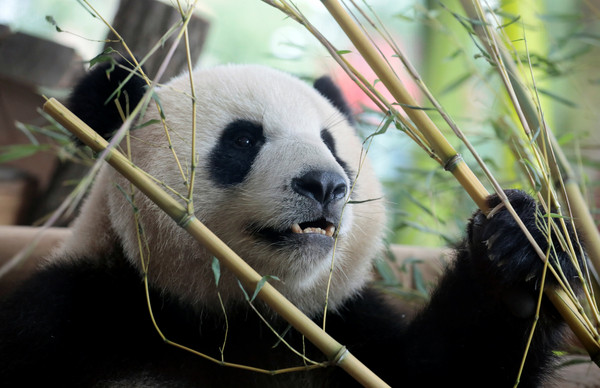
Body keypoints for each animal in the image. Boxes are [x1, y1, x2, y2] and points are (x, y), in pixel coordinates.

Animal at [0, 59, 580, 386]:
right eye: (244, 139)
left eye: (333, 145)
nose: (325, 184)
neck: (233, 320)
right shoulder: (75, 317)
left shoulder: (339, 329)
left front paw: (518, 251)